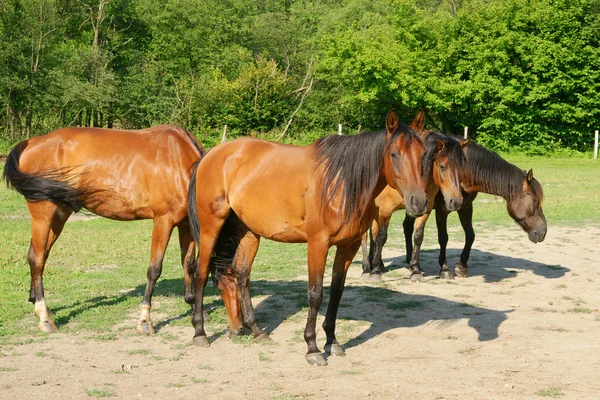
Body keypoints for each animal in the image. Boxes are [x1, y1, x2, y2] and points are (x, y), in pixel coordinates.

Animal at [2, 125, 205, 334]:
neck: (179, 163)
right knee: (37, 259)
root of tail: (31, 142)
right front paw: (145, 319)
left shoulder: (185, 225)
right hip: (42, 215)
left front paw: (193, 305)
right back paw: (44, 317)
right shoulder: (163, 221)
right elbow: (155, 269)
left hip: (59, 214)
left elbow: (189, 265)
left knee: (37, 254)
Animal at [186, 110, 426, 366]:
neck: (340, 183)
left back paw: (256, 330)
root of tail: (211, 155)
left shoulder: (348, 246)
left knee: (241, 276)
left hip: (248, 231)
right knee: (201, 273)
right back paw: (200, 332)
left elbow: (336, 292)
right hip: (211, 227)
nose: (419, 202)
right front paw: (312, 347)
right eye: (394, 154)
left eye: (423, 154)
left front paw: (332, 341)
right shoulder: (317, 244)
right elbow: (315, 293)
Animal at [360, 110, 468, 282]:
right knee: (366, 235)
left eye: (462, 167)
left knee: (372, 233)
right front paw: (375, 272)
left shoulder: (424, 208)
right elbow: (382, 237)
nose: (456, 201)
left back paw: (378, 263)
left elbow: (417, 236)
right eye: (442, 166)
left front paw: (415, 270)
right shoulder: (385, 209)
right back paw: (366, 267)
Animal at [404, 137, 548, 278]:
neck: (464, 172)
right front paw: (445, 269)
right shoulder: (442, 210)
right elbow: (443, 238)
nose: (543, 232)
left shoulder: (465, 207)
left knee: (407, 226)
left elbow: (470, 235)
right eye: (535, 200)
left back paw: (411, 262)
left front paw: (462, 266)